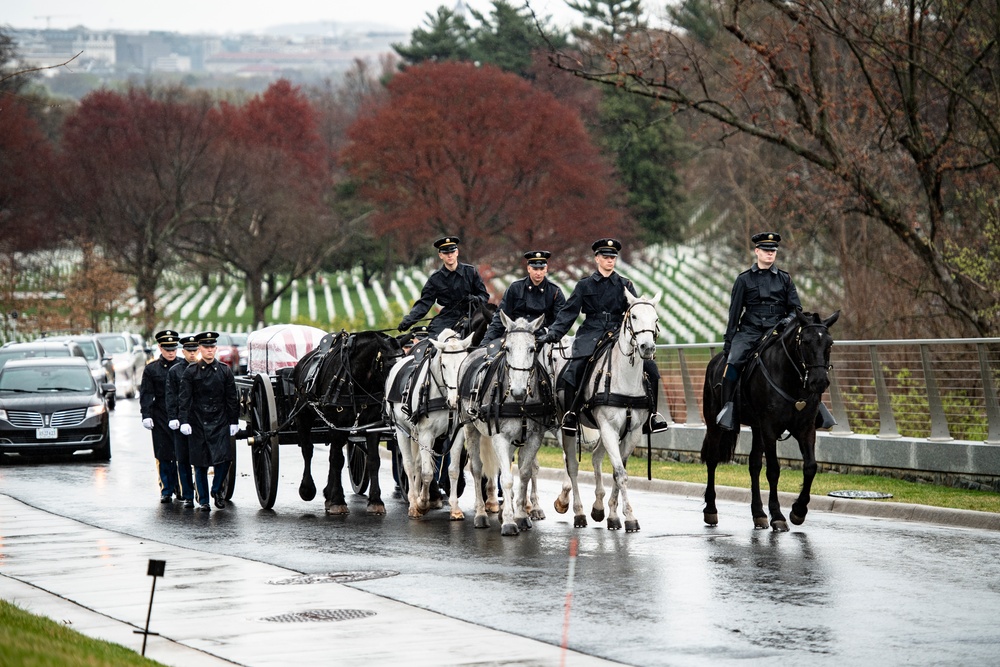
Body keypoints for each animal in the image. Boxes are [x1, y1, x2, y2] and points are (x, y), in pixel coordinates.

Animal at [290, 332, 402, 516]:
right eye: (390, 365)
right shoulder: (337, 425)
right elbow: (337, 460)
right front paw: (337, 501)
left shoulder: (372, 425)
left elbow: (373, 460)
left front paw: (375, 501)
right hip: (303, 416)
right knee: (308, 450)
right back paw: (308, 489)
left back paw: (328, 494)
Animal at [384, 328, 474, 516]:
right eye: (444, 365)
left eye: (463, 363)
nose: (455, 401)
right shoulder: (426, 434)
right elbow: (427, 472)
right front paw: (423, 502)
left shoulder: (457, 434)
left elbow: (453, 470)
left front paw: (455, 508)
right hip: (402, 430)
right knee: (410, 465)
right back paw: (413, 502)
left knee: (417, 464)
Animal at [458, 314, 552, 536]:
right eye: (507, 348)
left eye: (532, 348)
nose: (518, 391)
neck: (520, 403)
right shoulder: (500, 437)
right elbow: (507, 479)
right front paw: (509, 521)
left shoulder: (534, 438)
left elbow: (524, 474)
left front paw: (521, 516)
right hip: (471, 429)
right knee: (476, 469)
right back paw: (481, 514)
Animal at [552, 290, 660, 532]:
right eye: (634, 316)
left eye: (656, 319)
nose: (647, 348)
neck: (625, 378)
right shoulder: (609, 428)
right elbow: (620, 473)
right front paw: (630, 517)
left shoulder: (632, 432)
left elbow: (618, 471)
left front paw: (612, 514)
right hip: (568, 426)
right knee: (572, 465)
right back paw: (578, 512)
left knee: (595, 458)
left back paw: (598, 507)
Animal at [704, 312, 844, 532]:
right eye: (805, 341)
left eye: (829, 343)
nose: (819, 381)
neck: (791, 379)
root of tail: (715, 361)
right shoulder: (770, 428)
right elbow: (773, 470)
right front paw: (777, 515)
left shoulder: (805, 429)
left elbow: (810, 466)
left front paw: (798, 511)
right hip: (713, 422)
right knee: (712, 459)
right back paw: (711, 510)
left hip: (756, 428)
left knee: (753, 465)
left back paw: (759, 514)